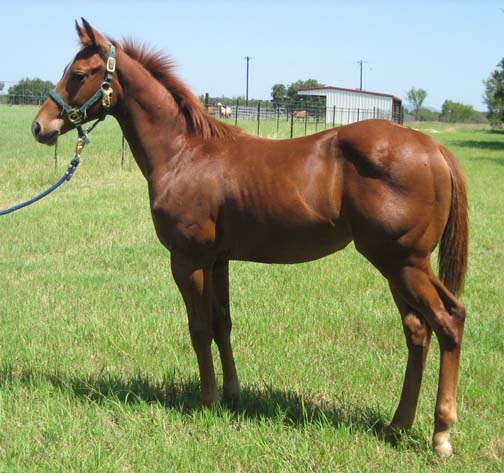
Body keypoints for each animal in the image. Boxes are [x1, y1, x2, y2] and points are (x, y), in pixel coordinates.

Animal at [32, 20, 468, 456]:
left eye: (79, 74)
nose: (40, 126)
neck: (184, 153)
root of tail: (434, 148)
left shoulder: (188, 260)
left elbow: (199, 328)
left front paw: (207, 402)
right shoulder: (218, 260)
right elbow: (222, 323)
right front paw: (232, 394)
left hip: (404, 262)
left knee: (449, 320)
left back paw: (440, 434)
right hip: (397, 267)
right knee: (417, 331)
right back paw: (397, 425)